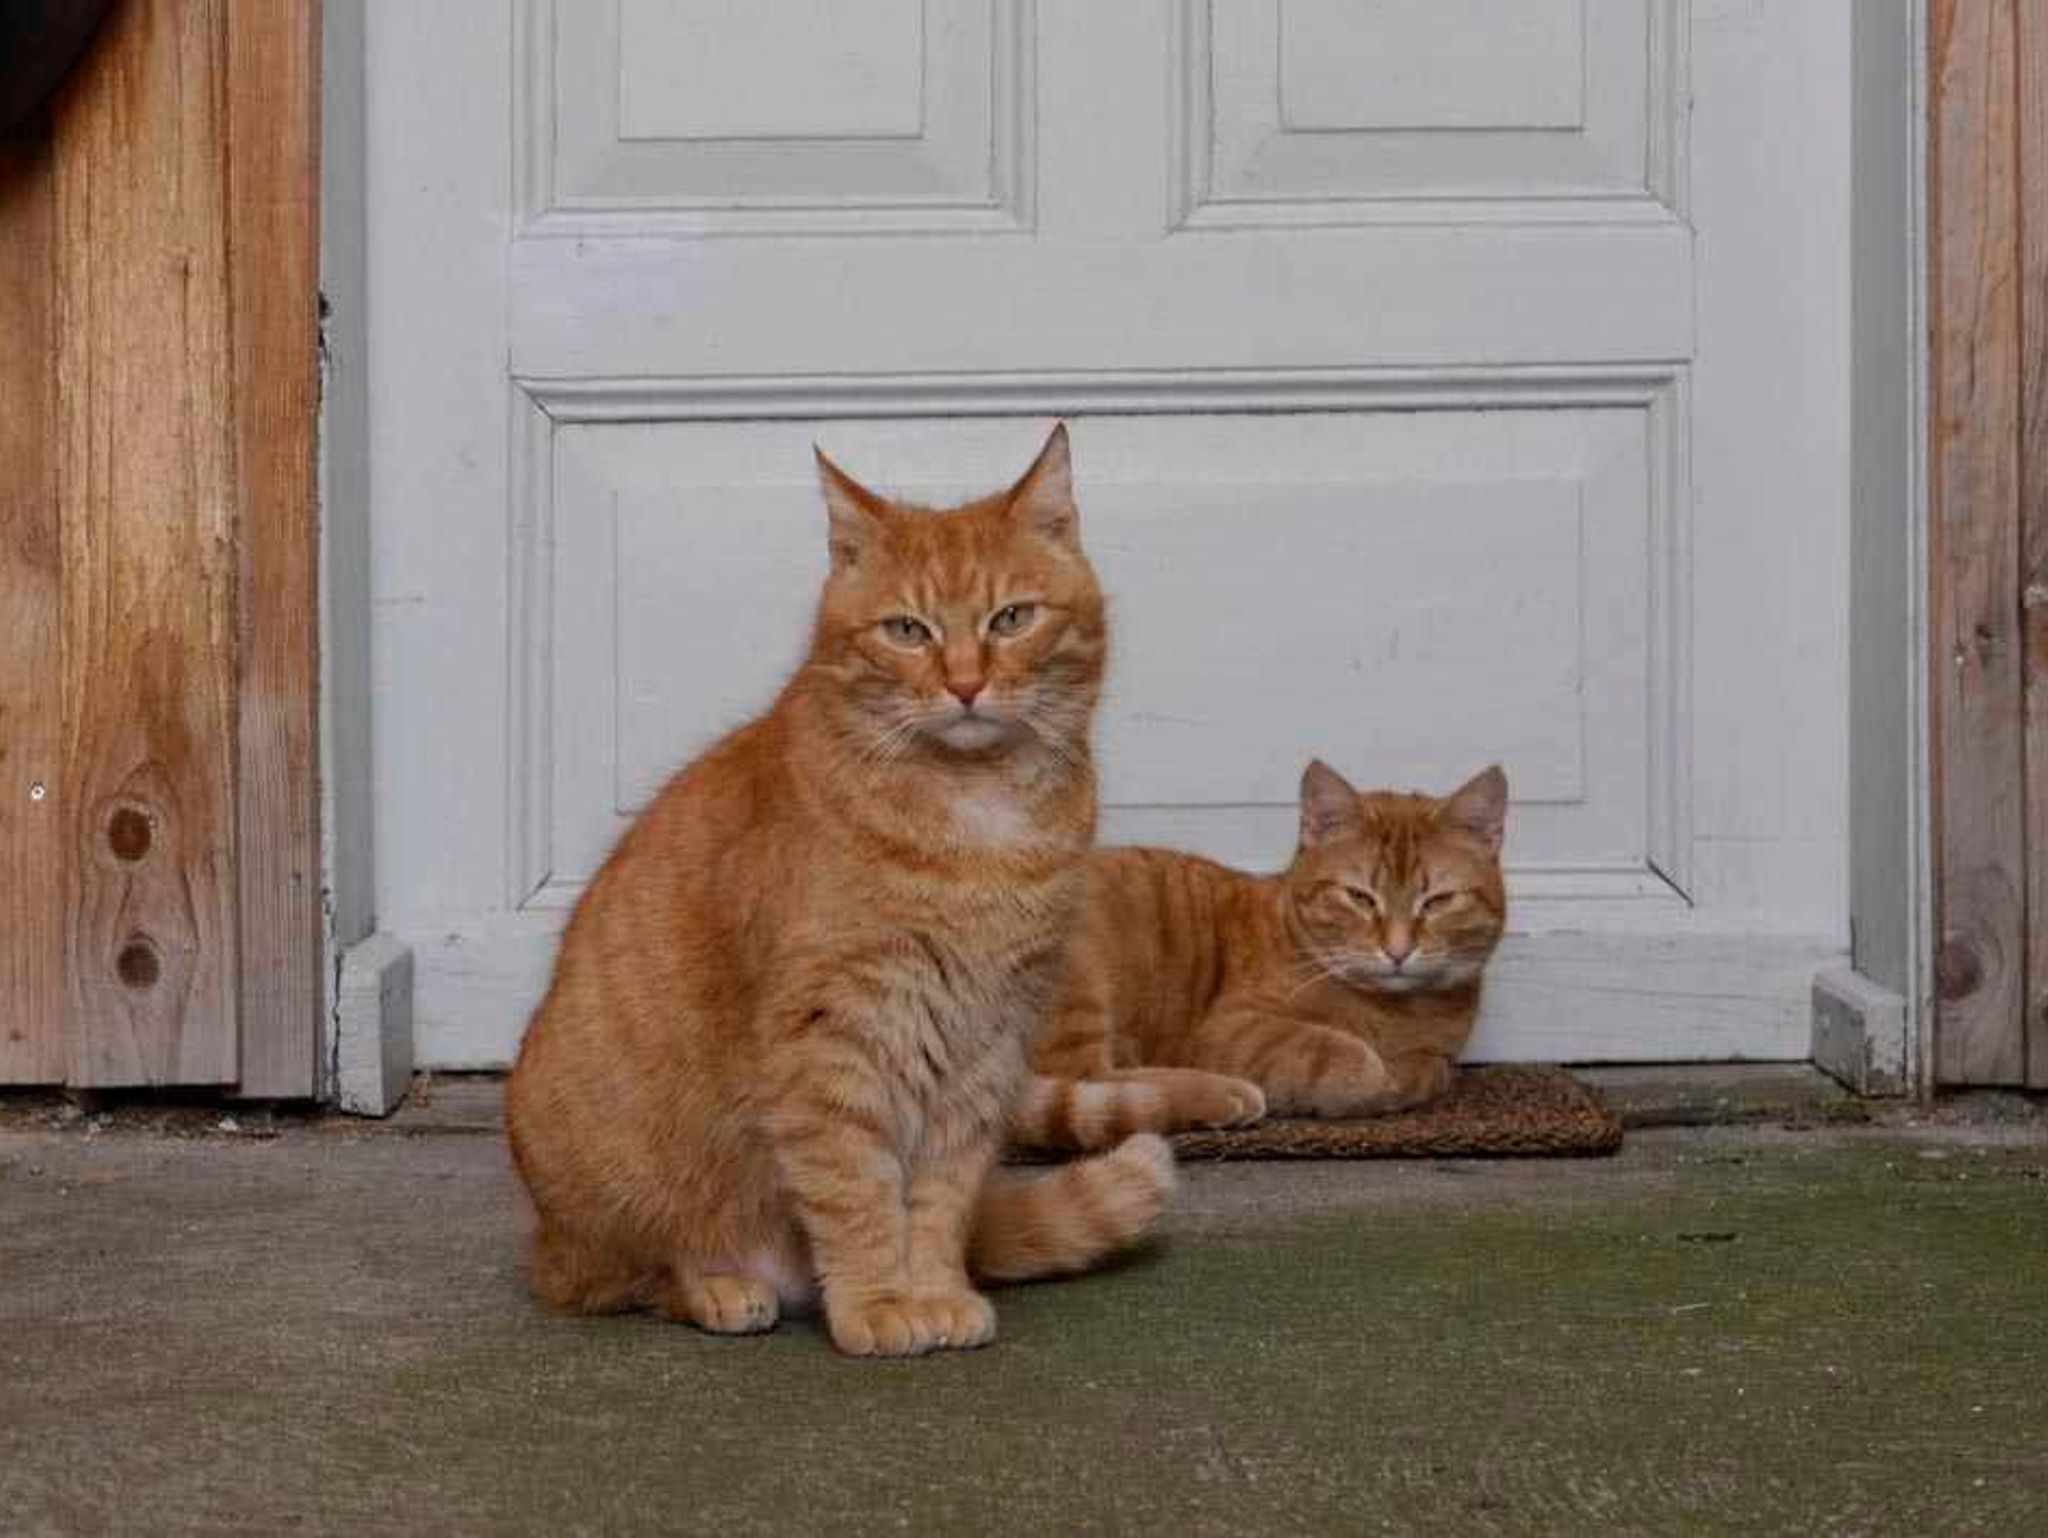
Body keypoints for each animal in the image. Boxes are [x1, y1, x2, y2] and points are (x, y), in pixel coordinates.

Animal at [505, 428, 1179, 1351]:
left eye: (1011, 619)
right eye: (907, 630)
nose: (965, 683)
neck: (976, 815)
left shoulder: (984, 1047)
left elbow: (938, 1199)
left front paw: (933, 1290)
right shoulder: (831, 1040)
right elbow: (855, 1190)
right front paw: (879, 1302)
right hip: (610, 1198)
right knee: (620, 1278)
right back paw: (719, 1288)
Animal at [1019, 765, 1507, 1146]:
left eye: (1437, 901)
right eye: (1360, 898)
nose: (1398, 950)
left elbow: (1431, 1069)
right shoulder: (1231, 1028)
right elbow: (1349, 1057)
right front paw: (1377, 1078)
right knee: (1086, 1079)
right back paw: (1218, 1094)